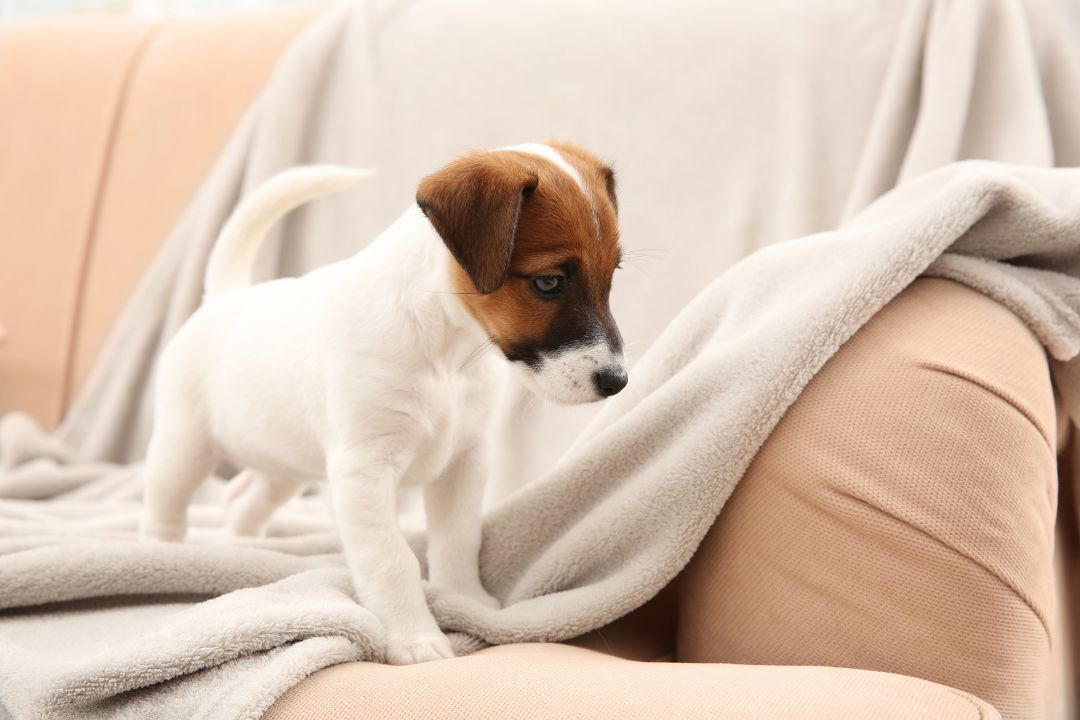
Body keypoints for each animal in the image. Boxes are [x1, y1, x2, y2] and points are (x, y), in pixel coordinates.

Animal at [137, 143, 626, 669]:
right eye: (549, 283)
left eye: (612, 276)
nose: (617, 382)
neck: (445, 351)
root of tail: (226, 298)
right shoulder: (363, 471)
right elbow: (391, 559)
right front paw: (414, 637)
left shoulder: (464, 462)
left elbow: (458, 540)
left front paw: (466, 602)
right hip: (184, 447)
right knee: (165, 508)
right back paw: (165, 557)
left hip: (285, 464)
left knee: (242, 500)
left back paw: (249, 546)